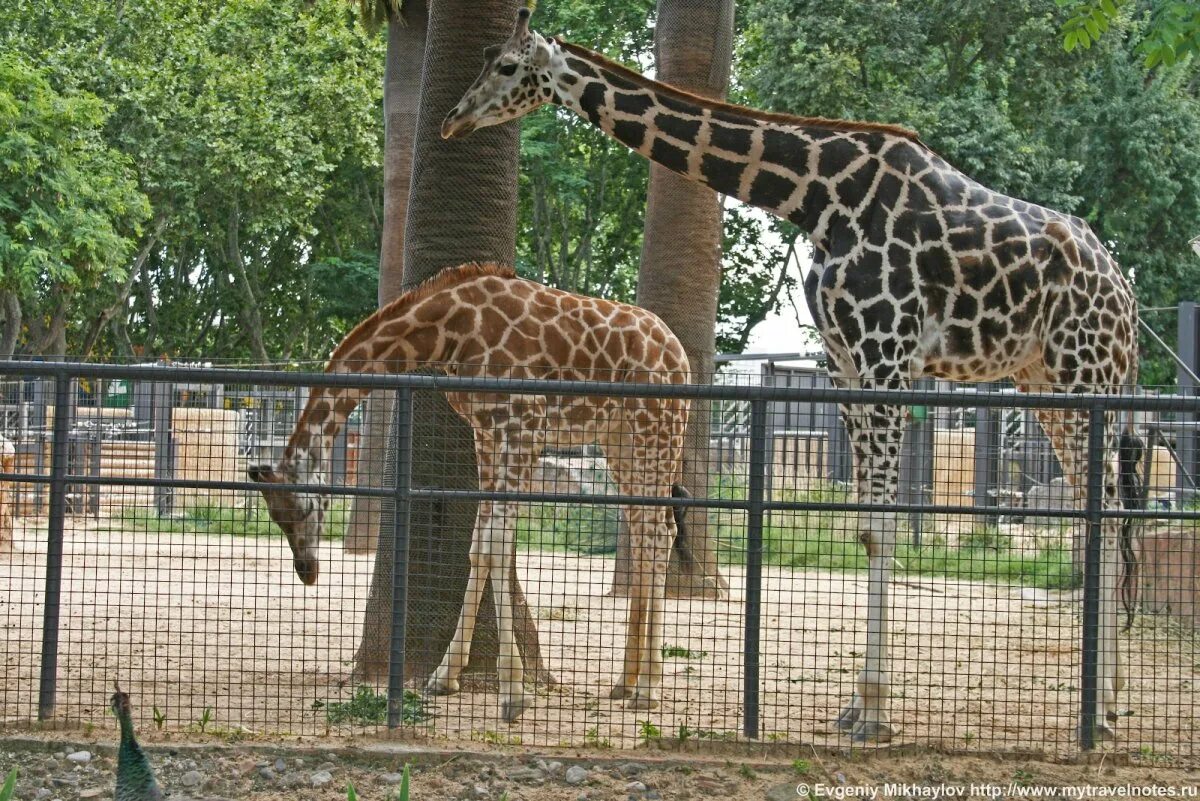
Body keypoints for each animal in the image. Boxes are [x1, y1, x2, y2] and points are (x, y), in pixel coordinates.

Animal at [246, 263, 696, 724]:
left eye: (301, 510)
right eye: (275, 518)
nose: (307, 571)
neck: (449, 332)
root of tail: (679, 353)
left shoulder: (522, 425)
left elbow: (497, 545)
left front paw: (513, 693)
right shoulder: (486, 431)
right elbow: (480, 547)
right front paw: (445, 677)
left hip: (657, 425)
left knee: (657, 531)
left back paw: (648, 688)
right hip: (617, 437)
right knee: (647, 527)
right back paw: (625, 681)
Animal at [444, 7, 1142, 743]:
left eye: (507, 66)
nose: (454, 119)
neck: (816, 198)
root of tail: (1125, 295)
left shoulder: (887, 351)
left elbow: (881, 525)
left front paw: (875, 711)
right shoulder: (846, 362)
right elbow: (863, 522)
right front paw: (855, 707)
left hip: (1086, 371)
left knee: (1108, 509)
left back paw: (1100, 709)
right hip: (1048, 382)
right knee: (1102, 507)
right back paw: (1107, 701)